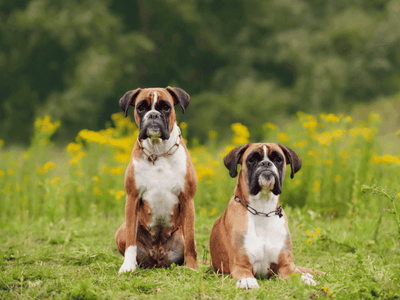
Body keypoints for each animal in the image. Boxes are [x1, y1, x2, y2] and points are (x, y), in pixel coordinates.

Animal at [115, 87, 198, 274]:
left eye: (166, 107)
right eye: (141, 108)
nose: (153, 115)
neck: (158, 152)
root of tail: (157, 259)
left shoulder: (188, 199)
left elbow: (190, 241)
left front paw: (192, 267)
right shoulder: (132, 198)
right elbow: (131, 240)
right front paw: (128, 266)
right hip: (120, 231)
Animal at [209, 144, 322, 290]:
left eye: (278, 159)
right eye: (252, 159)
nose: (266, 163)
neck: (262, 210)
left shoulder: (285, 265)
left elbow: (296, 273)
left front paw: (304, 279)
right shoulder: (240, 265)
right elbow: (245, 274)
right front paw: (247, 280)